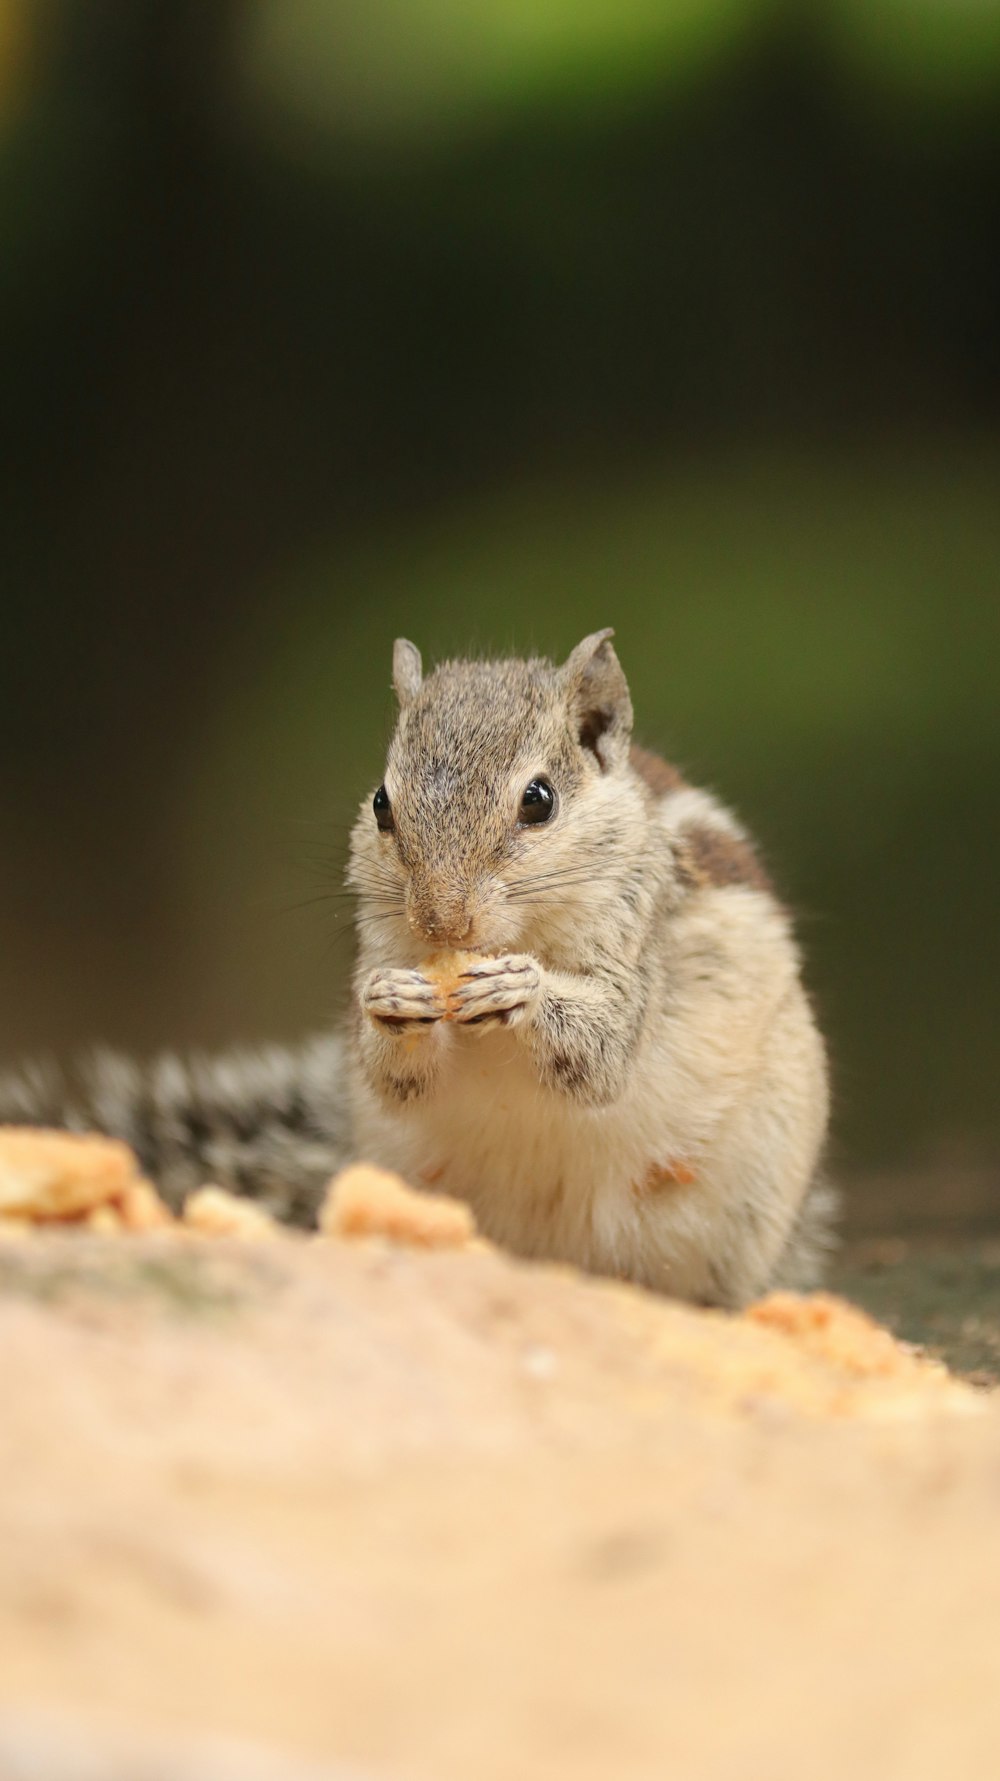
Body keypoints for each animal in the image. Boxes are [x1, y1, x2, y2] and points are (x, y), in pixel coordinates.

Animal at [0, 634, 834, 1303]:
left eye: (540, 799)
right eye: (380, 803)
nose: (441, 922)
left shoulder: (637, 940)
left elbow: (603, 1050)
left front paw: (522, 989)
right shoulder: (381, 943)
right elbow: (394, 1069)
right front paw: (392, 1003)